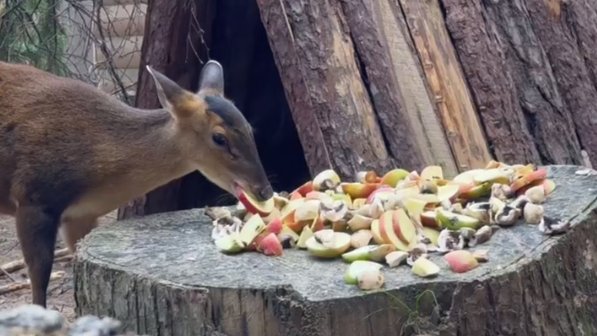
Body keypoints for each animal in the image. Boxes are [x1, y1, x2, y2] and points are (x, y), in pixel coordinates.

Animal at [0, 59, 274, 308]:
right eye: (219, 138)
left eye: (250, 128)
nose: (264, 190)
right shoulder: (34, 197)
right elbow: (39, 278)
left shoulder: (81, 216)